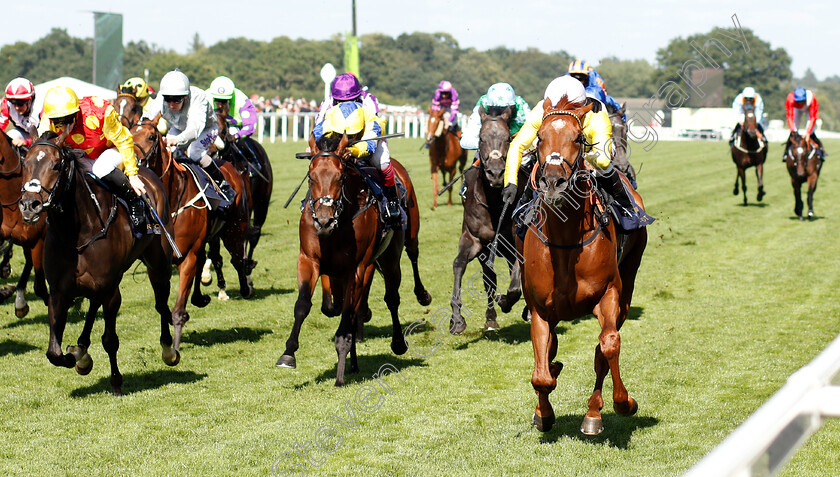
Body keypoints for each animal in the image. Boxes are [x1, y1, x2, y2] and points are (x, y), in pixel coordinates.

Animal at [19, 130, 176, 394]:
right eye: (25, 164)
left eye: (56, 165)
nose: (30, 205)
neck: (77, 232)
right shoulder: (60, 291)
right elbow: (53, 352)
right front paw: (74, 355)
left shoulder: (110, 289)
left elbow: (110, 340)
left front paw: (116, 382)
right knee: (94, 304)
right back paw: (81, 350)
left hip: (157, 262)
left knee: (161, 302)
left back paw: (168, 349)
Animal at [278, 132, 412, 384]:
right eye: (311, 177)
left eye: (340, 177)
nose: (324, 221)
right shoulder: (309, 260)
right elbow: (303, 305)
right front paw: (288, 354)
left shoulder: (356, 268)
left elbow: (348, 314)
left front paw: (341, 365)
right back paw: (354, 362)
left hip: (389, 258)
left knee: (391, 298)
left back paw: (397, 343)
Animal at [450, 105, 520, 332]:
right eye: (481, 138)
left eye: (508, 138)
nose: (496, 173)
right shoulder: (474, 240)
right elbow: (459, 264)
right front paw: (457, 318)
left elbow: (516, 283)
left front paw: (506, 300)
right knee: (489, 278)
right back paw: (490, 317)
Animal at [520, 99, 648, 436]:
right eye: (540, 138)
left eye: (578, 138)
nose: (553, 181)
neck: (565, 240)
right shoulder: (540, 309)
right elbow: (542, 371)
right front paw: (543, 412)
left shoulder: (609, 294)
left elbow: (609, 345)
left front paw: (624, 402)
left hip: (628, 283)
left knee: (603, 348)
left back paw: (593, 413)